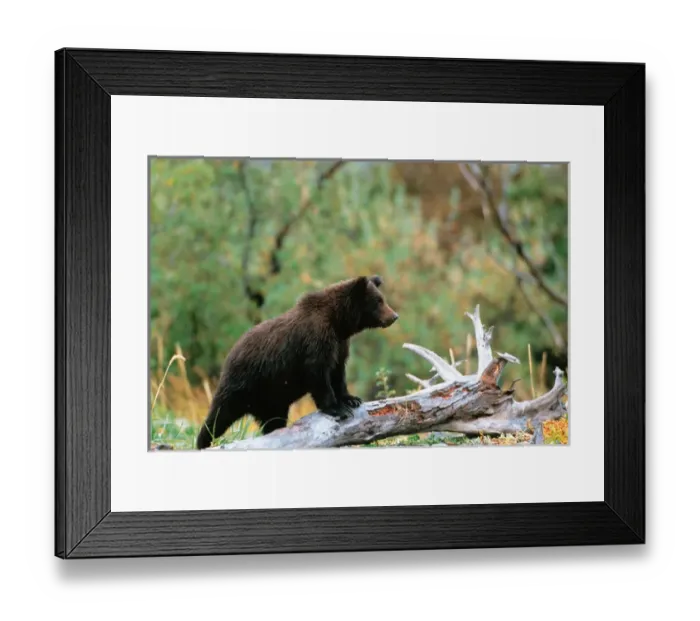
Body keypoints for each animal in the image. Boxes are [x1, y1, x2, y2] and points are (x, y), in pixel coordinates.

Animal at [195, 275, 399, 449]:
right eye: (378, 301)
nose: (394, 316)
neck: (338, 323)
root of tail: (230, 353)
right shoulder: (315, 342)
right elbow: (319, 375)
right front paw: (338, 408)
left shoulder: (340, 346)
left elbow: (338, 373)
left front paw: (351, 399)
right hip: (243, 384)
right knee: (219, 416)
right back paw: (203, 442)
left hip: (272, 399)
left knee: (273, 422)